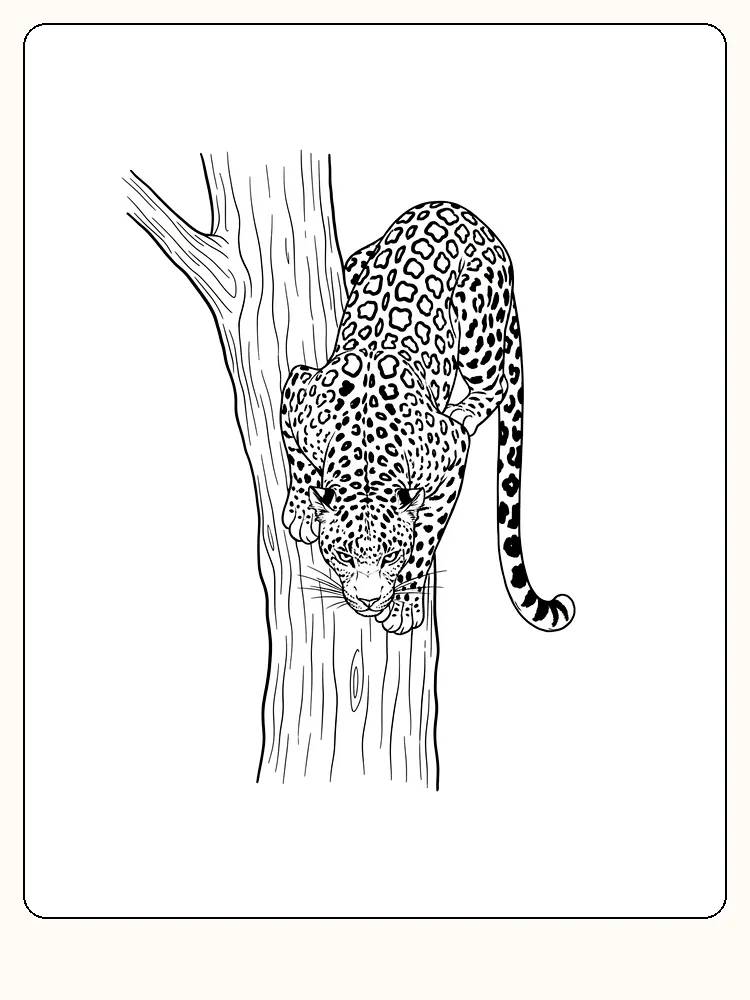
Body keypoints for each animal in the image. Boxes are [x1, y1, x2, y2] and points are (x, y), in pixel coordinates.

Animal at [280, 200, 575, 635]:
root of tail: (467, 214)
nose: (369, 602)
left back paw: (465, 410)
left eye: (390, 556)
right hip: (364, 259)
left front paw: (404, 603)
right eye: (344, 556)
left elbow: (426, 536)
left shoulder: (450, 459)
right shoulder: (298, 390)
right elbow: (298, 459)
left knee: (497, 382)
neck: (364, 454)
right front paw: (302, 508)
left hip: (476, 324)